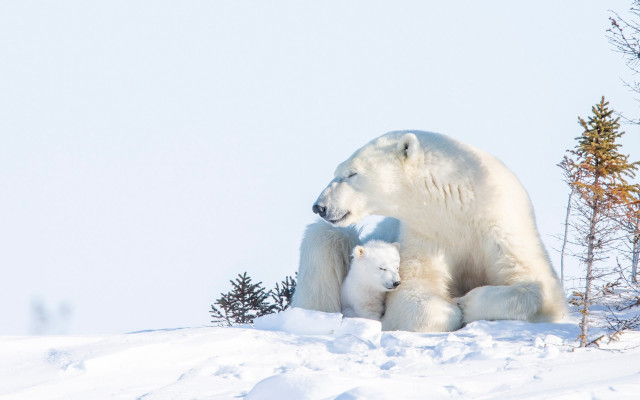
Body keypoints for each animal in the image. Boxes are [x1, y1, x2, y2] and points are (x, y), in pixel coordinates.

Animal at [293, 130, 566, 332]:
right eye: (338, 171)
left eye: (352, 173)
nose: (320, 206)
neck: (460, 202)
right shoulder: (428, 231)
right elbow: (414, 289)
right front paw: (452, 307)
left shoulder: (502, 226)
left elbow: (535, 285)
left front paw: (467, 302)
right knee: (324, 241)